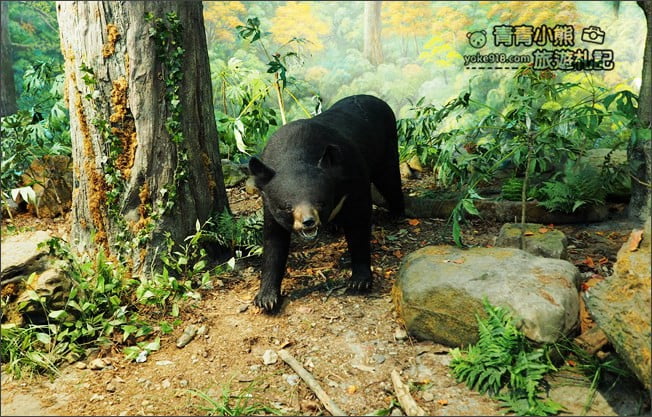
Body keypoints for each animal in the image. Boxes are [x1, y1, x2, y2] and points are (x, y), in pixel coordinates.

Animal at [248, 94, 405, 313]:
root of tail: (374, 98)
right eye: (286, 206)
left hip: (386, 146)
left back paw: (397, 213)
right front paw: (266, 299)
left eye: (321, 202)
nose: (308, 222)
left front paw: (359, 281)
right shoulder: (268, 202)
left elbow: (359, 224)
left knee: (390, 179)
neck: (296, 155)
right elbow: (273, 241)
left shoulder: (354, 177)